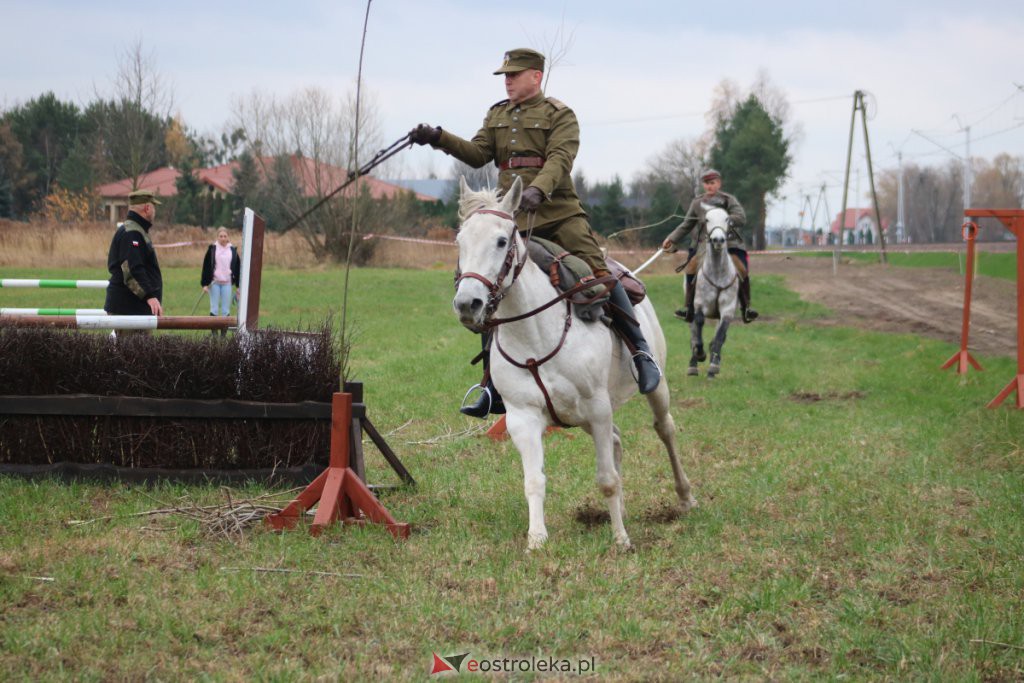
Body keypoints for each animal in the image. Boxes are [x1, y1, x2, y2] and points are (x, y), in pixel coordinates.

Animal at [454, 176, 696, 548]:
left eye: (501, 241)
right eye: (460, 241)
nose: (468, 303)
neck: (535, 336)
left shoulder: (597, 408)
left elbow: (606, 479)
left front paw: (621, 539)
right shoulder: (523, 418)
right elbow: (534, 481)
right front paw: (536, 539)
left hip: (653, 389)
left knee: (664, 429)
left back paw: (684, 497)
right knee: (616, 440)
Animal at [688, 208, 737, 378]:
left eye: (727, 219)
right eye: (707, 219)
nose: (718, 240)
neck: (717, 272)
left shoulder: (727, 310)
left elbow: (720, 336)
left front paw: (714, 366)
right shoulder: (699, 305)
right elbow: (699, 325)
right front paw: (700, 354)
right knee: (694, 333)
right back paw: (693, 365)